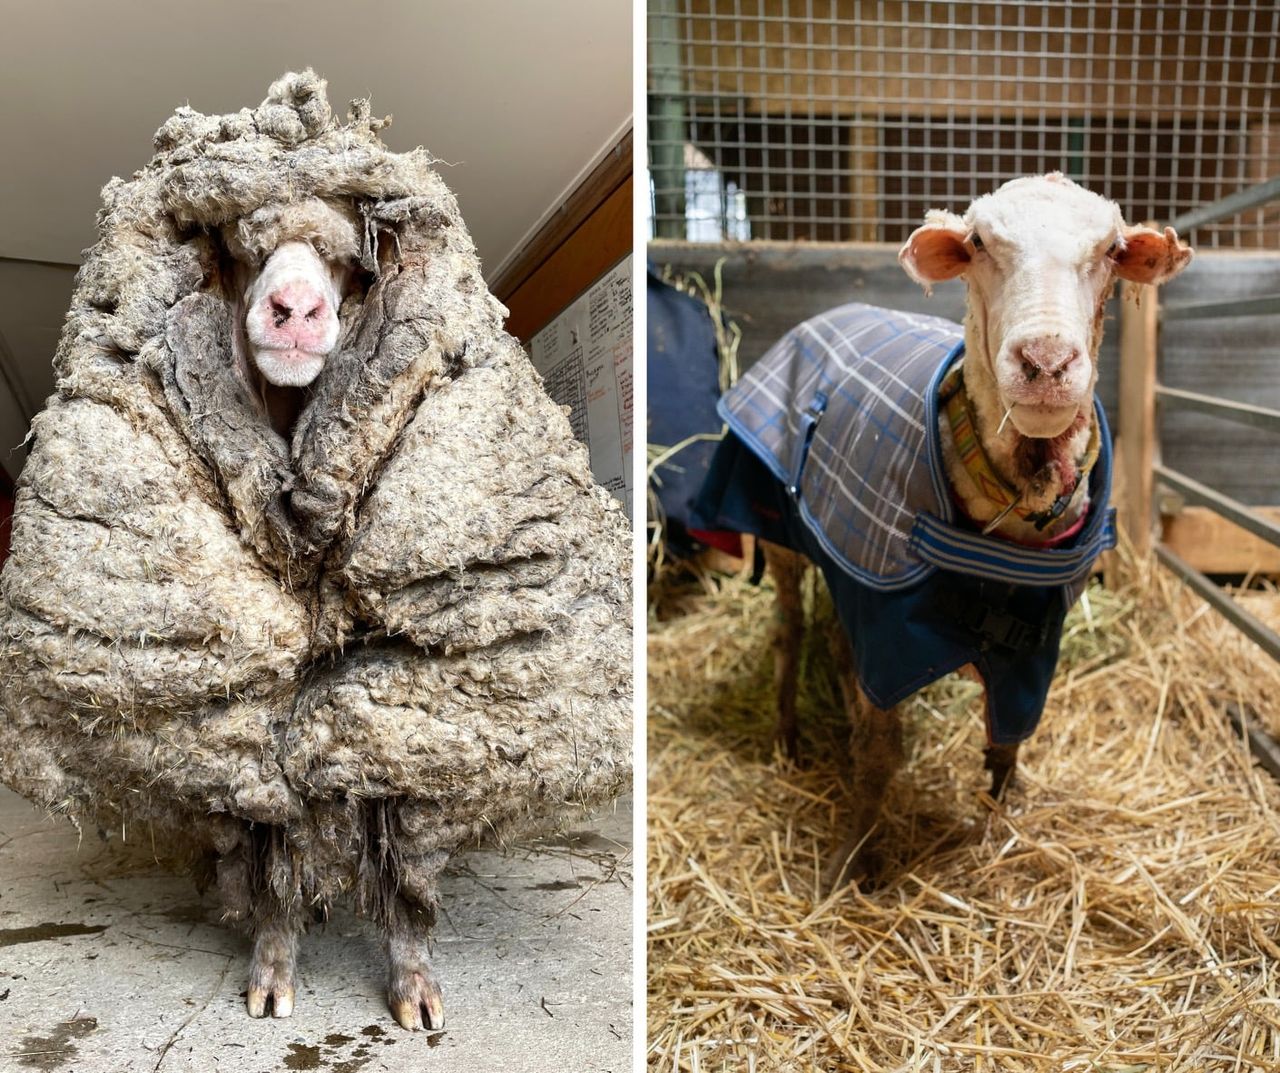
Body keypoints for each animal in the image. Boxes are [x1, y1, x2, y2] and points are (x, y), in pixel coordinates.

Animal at [696, 174, 1191, 890]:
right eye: (979, 243)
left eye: (1111, 249)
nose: (1046, 362)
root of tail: (829, 313)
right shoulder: (888, 633)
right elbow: (880, 754)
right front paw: (850, 864)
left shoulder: (1032, 645)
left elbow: (1008, 741)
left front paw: (999, 825)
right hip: (780, 536)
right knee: (788, 631)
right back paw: (786, 734)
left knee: (835, 643)